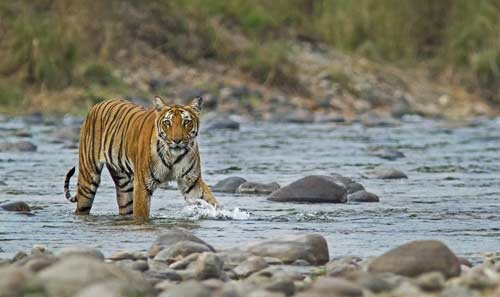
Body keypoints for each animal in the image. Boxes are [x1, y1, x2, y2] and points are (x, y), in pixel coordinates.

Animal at [62, 96, 219, 219]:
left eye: (186, 122)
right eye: (167, 123)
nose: (177, 140)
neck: (173, 156)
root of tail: (98, 104)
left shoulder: (192, 181)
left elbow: (210, 200)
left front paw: (221, 214)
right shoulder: (143, 184)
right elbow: (141, 213)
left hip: (124, 185)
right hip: (88, 178)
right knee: (82, 206)